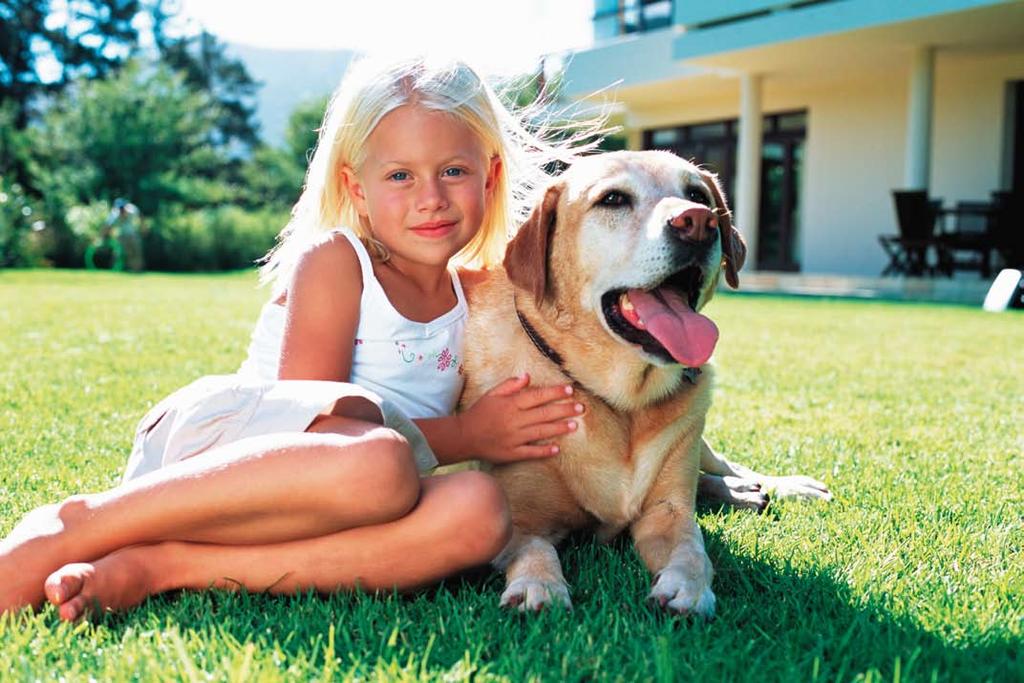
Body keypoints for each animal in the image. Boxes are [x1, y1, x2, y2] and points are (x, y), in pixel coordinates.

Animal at [460, 150, 827, 614]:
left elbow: (693, 549)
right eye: (613, 199)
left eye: (697, 195)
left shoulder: (667, 512)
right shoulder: (519, 520)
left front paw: (688, 588)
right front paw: (539, 586)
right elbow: (535, 550)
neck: (619, 403)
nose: (698, 222)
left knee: (723, 466)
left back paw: (777, 486)